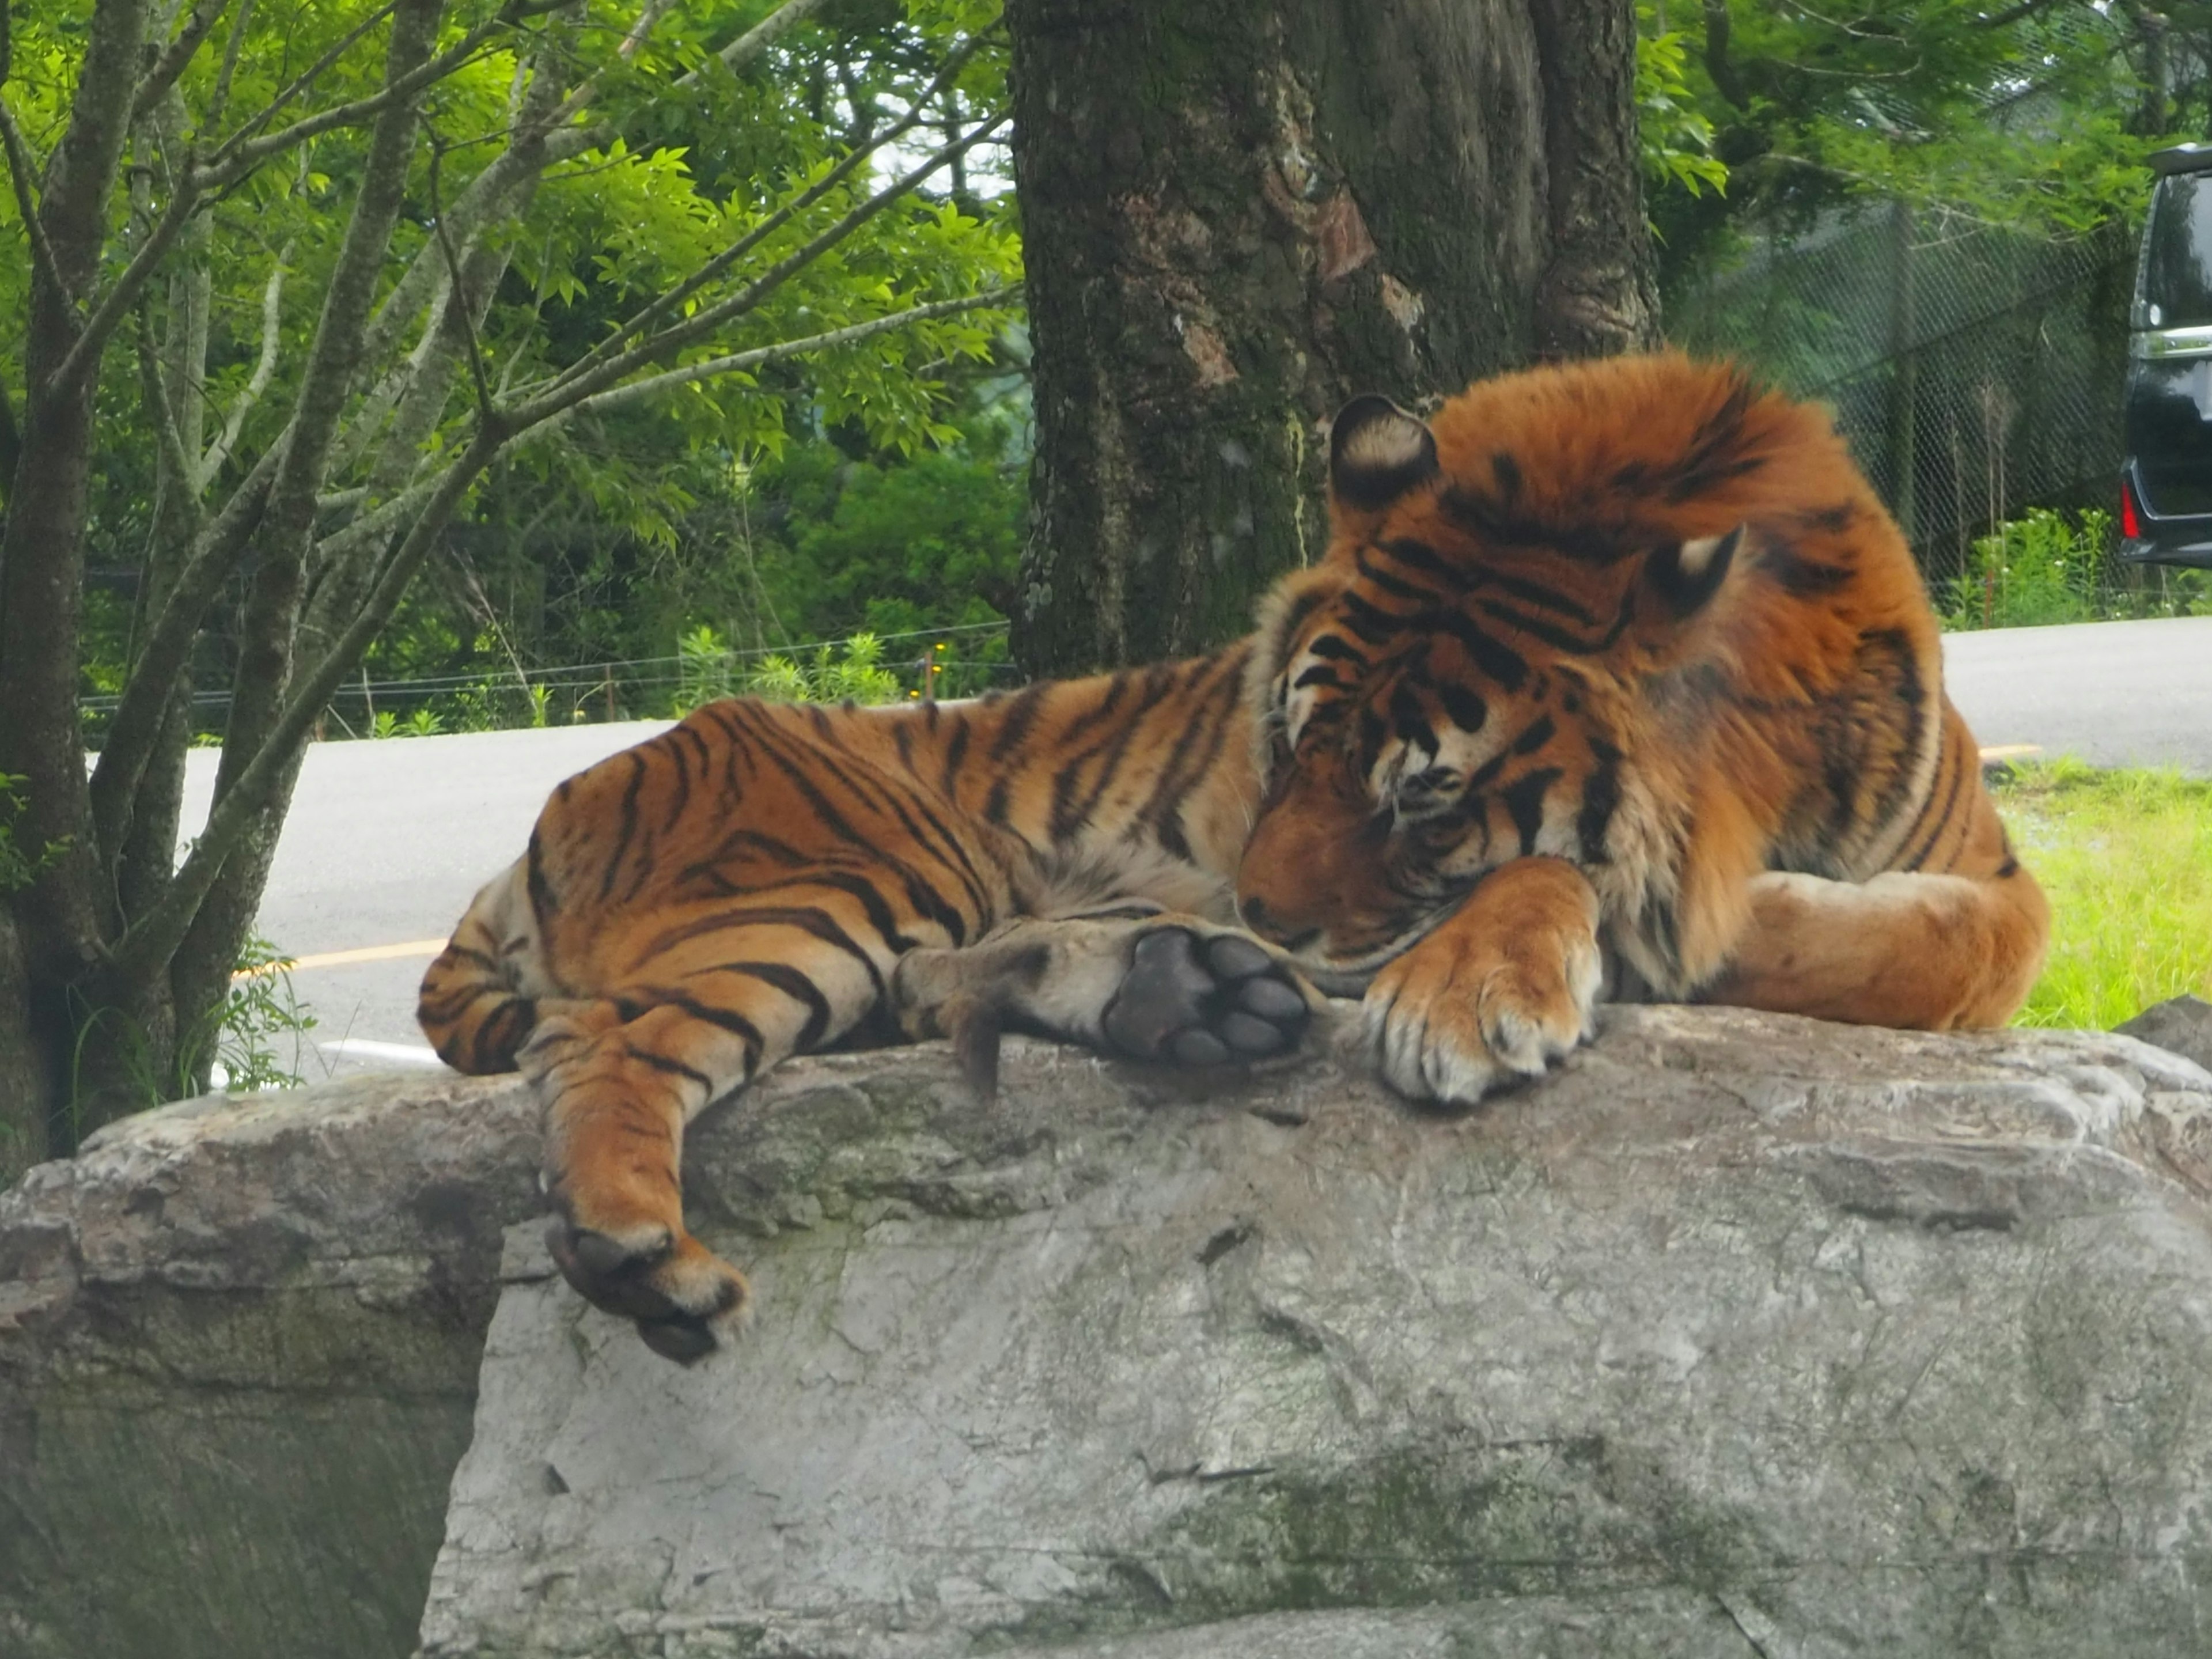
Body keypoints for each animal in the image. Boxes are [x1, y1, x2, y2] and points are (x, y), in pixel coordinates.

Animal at [418, 351, 2052, 1362]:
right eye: (1287, 740)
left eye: (1419, 799)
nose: (1249, 902)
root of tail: (568, 795)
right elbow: (1578, 878)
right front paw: (1527, 973)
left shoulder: (1996, 878)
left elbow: (1927, 940)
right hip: (852, 871)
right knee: (602, 1043)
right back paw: (643, 1254)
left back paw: (1188, 995)